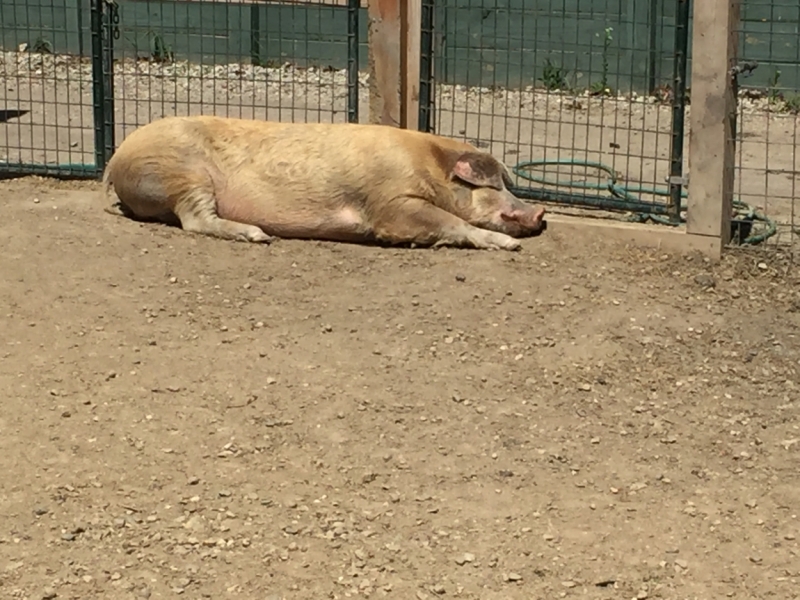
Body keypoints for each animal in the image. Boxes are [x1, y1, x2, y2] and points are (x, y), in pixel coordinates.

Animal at [101, 115, 544, 251]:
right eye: (496, 185)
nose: (540, 214)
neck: (427, 165)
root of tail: (114, 160)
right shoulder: (390, 204)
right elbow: (450, 221)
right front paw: (510, 246)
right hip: (182, 173)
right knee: (195, 220)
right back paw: (259, 236)